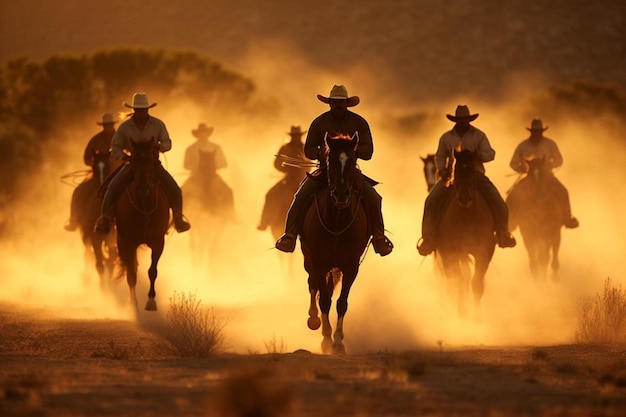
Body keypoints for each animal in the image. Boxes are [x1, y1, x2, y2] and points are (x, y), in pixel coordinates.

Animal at [75, 148, 117, 288]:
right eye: (94, 167)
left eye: (109, 166)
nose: (102, 189)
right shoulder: (94, 239)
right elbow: (99, 264)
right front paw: (103, 288)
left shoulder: (112, 240)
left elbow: (110, 260)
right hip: (85, 235)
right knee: (88, 254)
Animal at [114, 138, 171, 310]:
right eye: (134, 160)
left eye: (151, 160)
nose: (143, 187)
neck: (144, 206)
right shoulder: (127, 243)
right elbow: (131, 273)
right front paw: (133, 303)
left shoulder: (158, 242)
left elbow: (152, 271)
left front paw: (151, 301)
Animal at [298, 132, 368, 352]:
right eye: (331, 161)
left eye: (352, 159)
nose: (341, 194)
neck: (337, 222)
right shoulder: (319, 262)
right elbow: (325, 300)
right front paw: (327, 339)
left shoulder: (351, 266)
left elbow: (341, 302)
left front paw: (338, 341)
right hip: (308, 258)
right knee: (312, 284)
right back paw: (313, 320)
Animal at [436, 148, 494, 316]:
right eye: (456, 171)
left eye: (472, 171)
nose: (464, 199)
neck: (467, 218)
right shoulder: (453, 251)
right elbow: (460, 281)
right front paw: (462, 313)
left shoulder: (484, 251)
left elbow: (477, 283)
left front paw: (477, 317)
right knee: (453, 280)